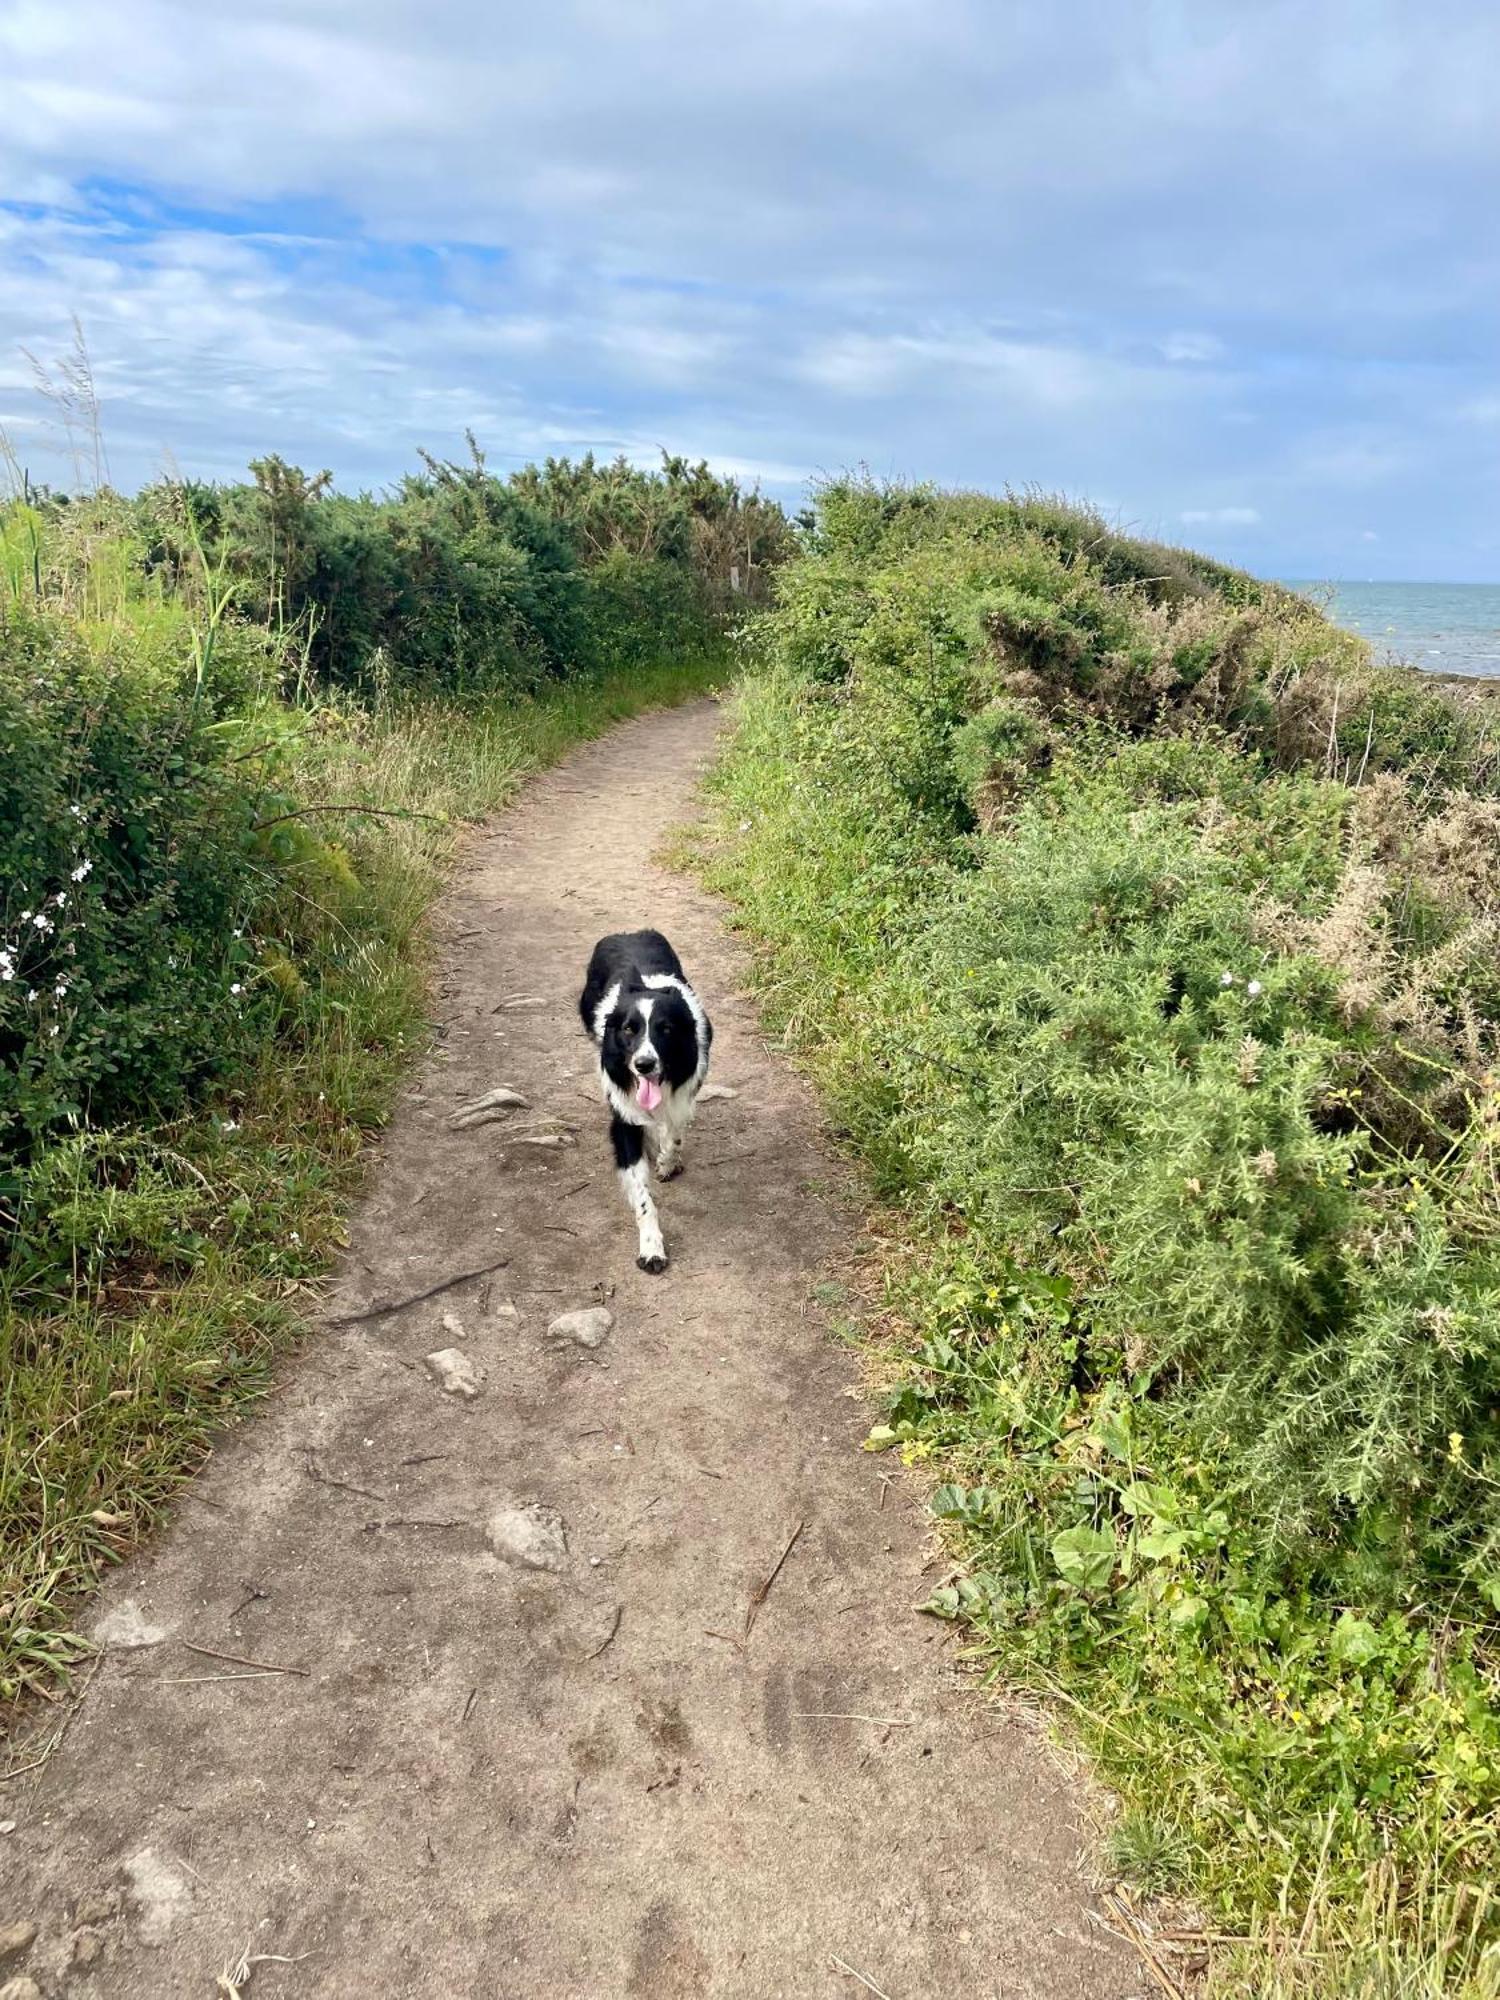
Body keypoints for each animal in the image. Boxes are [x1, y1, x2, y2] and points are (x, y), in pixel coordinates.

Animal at [580, 928, 712, 1272]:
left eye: (665, 1029)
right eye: (629, 1029)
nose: (643, 1064)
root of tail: (627, 932)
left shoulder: (685, 1091)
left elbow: (675, 1134)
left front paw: (667, 1161)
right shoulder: (623, 1116)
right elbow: (642, 1195)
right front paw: (652, 1247)